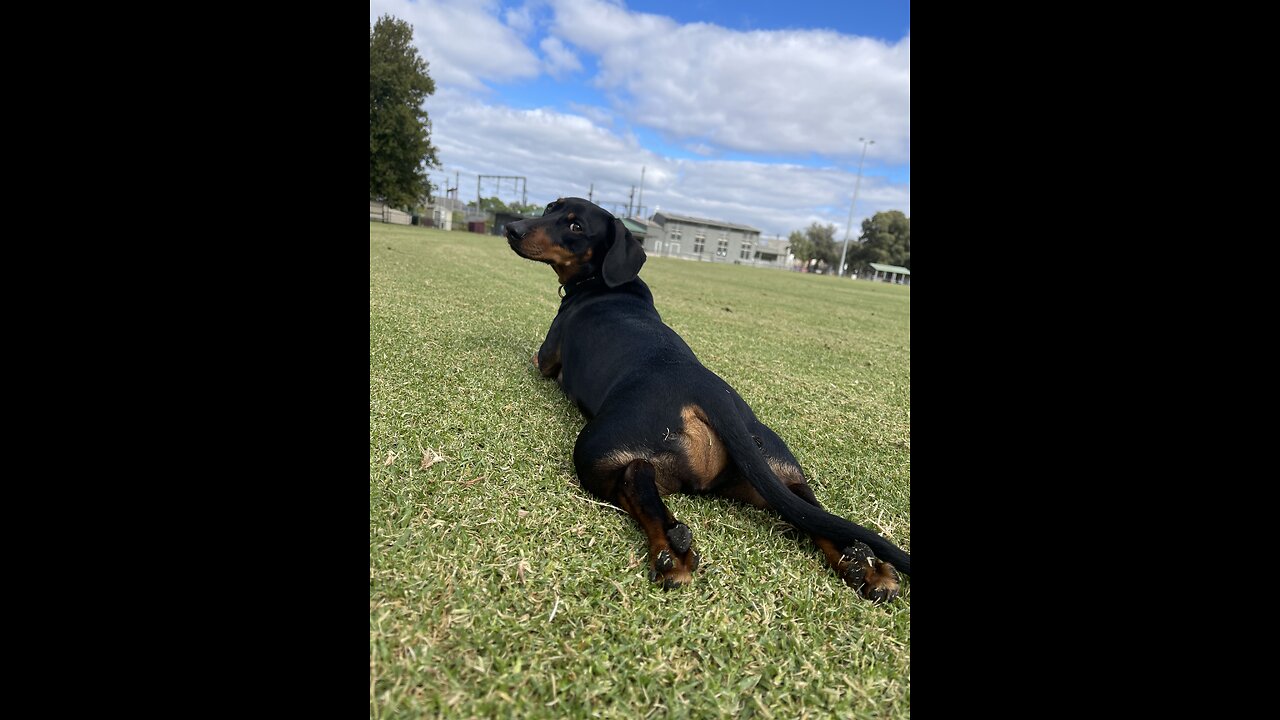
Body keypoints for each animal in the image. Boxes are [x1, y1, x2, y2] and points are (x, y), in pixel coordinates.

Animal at [504, 196, 906, 599]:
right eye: (550, 208)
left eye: (575, 226)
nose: (512, 228)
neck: (606, 283)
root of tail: (711, 395)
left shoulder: (546, 358)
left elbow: (539, 360)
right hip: (774, 474)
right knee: (808, 509)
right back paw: (864, 565)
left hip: (594, 448)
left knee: (634, 477)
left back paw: (671, 549)